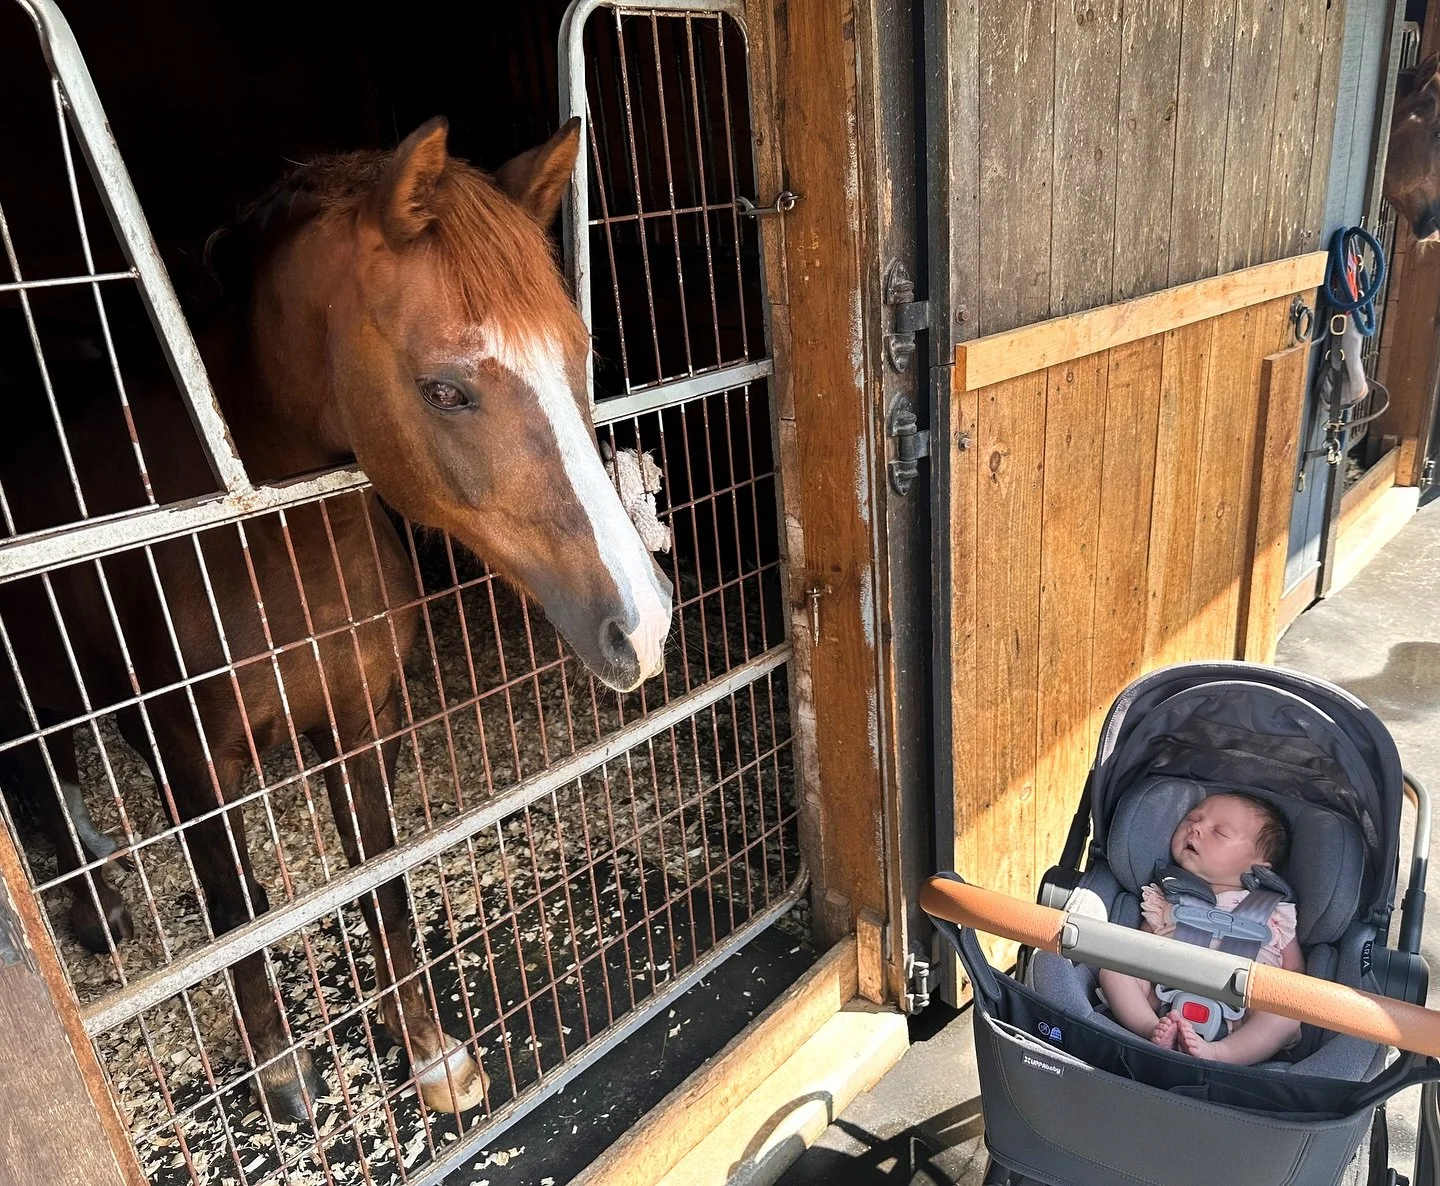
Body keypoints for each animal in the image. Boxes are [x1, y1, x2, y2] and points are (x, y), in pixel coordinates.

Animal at [0, 116, 673, 1122]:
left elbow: (378, 879)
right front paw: (283, 1071)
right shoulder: (194, 762)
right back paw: (99, 910)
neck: (271, 546)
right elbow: (236, 908)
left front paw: (430, 1054)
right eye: (444, 389)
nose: (645, 624)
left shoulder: (365, 722)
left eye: (576, 353)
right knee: (40, 772)